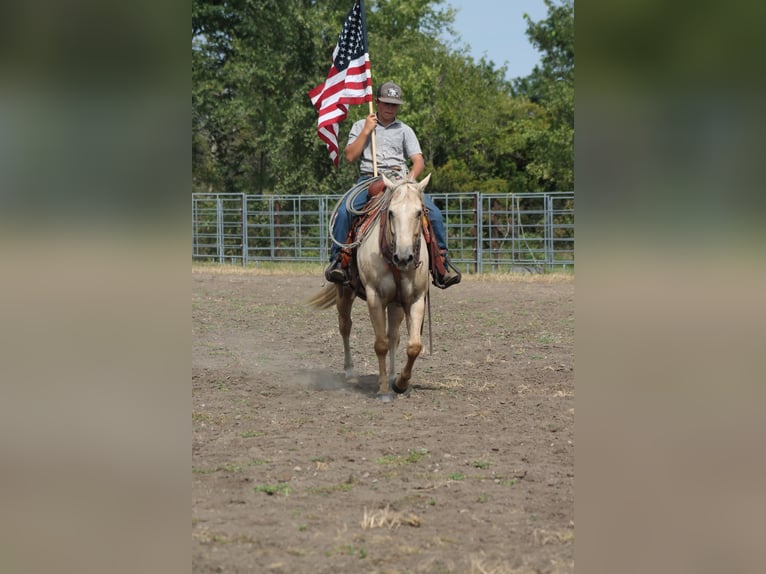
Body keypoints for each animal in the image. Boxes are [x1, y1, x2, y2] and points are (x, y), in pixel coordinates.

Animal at [308, 174, 432, 402]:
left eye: (419, 212)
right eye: (391, 212)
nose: (404, 258)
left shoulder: (415, 299)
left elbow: (413, 346)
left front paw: (400, 383)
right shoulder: (375, 297)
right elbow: (380, 344)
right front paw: (383, 390)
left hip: (396, 304)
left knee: (394, 337)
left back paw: (392, 376)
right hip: (344, 292)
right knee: (345, 326)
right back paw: (350, 372)